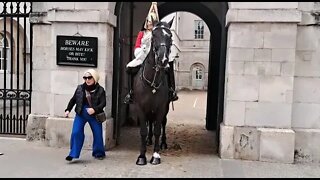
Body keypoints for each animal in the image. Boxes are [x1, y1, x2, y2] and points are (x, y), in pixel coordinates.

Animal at [133, 18, 175, 166]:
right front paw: (141, 156)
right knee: (149, 123)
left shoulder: (161, 107)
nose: (163, 60)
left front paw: (156, 156)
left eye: (170, 36)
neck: (152, 80)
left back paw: (163, 143)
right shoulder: (140, 108)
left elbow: (157, 129)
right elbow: (143, 131)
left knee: (162, 123)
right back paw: (149, 141)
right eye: (154, 36)